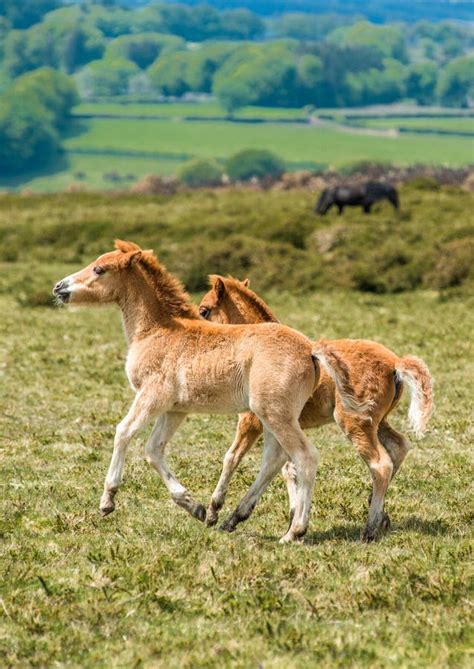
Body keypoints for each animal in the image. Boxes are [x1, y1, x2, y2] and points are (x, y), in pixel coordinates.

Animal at [54, 240, 322, 544]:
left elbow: (123, 432)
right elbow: (153, 449)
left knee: (305, 458)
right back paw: (235, 517)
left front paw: (107, 500)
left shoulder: (152, 395)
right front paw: (194, 506)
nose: (59, 287)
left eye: (99, 269)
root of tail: (311, 350)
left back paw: (295, 531)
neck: (157, 331)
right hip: (269, 417)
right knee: (275, 460)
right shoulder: (175, 409)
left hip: (275, 414)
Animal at [198, 274, 432, 540]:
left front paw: (214, 512)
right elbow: (288, 468)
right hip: (378, 422)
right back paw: (378, 511)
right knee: (398, 446)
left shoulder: (251, 422)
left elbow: (232, 457)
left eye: (204, 310)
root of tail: (395, 363)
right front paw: (291, 519)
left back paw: (369, 529)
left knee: (380, 464)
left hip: (353, 422)